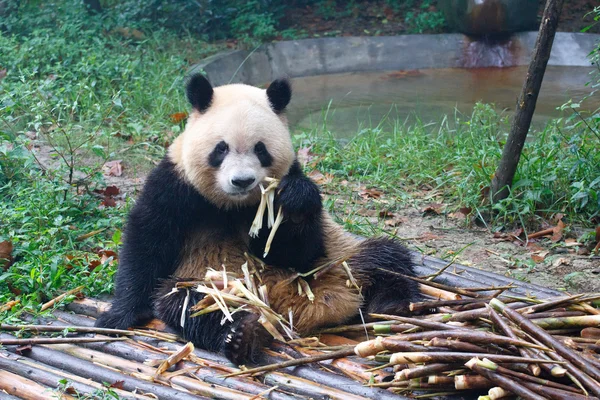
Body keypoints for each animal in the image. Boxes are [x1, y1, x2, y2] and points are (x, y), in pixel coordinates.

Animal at [96, 73, 420, 364]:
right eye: (221, 148)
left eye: (260, 149)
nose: (242, 181)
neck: (232, 205)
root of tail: (298, 309)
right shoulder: (176, 184)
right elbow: (147, 240)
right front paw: (119, 315)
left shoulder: (288, 181)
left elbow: (296, 253)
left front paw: (296, 202)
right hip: (205, 279)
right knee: (191, 303)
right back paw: (242, 335)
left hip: (341, 263)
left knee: (387, 258)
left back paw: (396, 305)